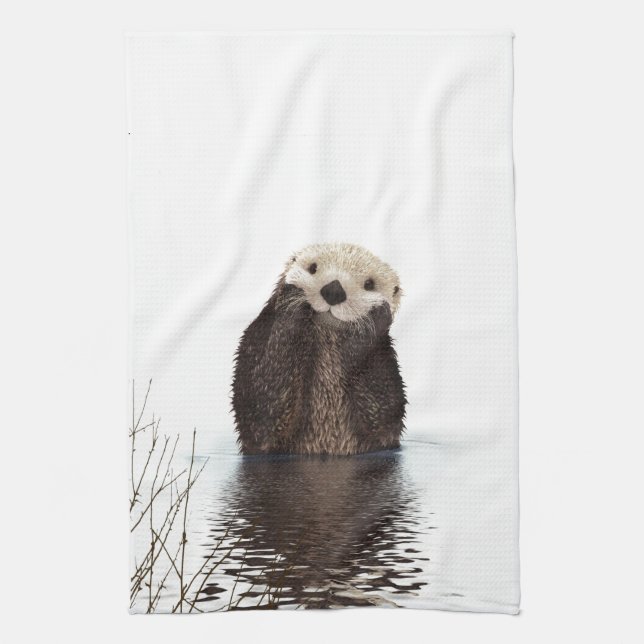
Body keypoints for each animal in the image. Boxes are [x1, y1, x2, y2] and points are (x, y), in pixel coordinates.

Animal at [232, 242, 406, 456]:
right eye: (313, 268)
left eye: (369, 284)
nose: (334, 290)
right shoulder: (254, 340)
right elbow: (260, 412)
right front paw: (293, 298)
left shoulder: (384, 360)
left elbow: (384, 417)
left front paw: (374, 318)